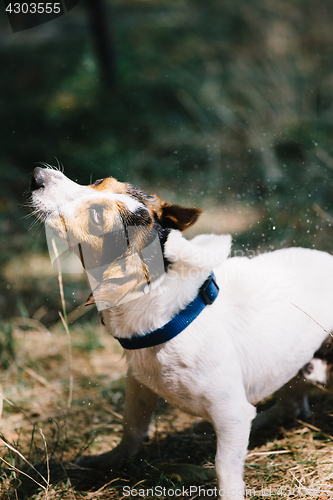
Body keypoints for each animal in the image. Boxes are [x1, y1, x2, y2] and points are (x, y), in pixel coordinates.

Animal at [29, 166, 332, 498]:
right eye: (99, 182)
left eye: (96, 217)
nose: (38, 175)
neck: (171, 319)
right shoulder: (139, 385)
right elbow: (132, 426)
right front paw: (112, 459)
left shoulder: (231, 415)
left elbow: (224, 468)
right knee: (293, 405)